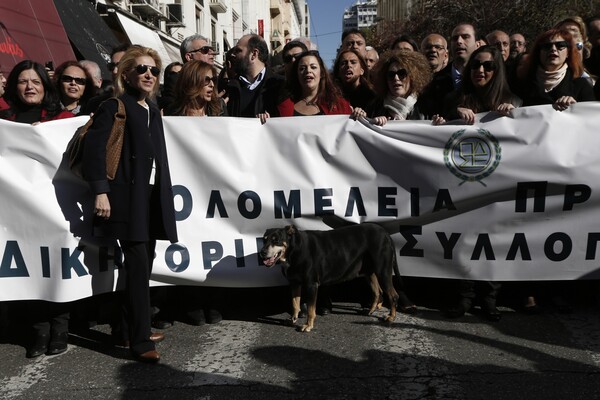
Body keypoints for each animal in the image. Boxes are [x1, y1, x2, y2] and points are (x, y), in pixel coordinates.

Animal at [262, 225, 406, 332]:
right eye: (264, 240)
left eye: (276, 240)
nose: (262, 252)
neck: (294, 249)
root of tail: (386, 234)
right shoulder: (295, 283)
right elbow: (295, 304)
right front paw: (293, 319)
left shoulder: (311, 284)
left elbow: (310, 309)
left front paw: (308, 325)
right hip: (369, 272)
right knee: (378, 292)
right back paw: (370, 311)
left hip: (383, 271)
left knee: (393, 295)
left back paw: (391, 317)